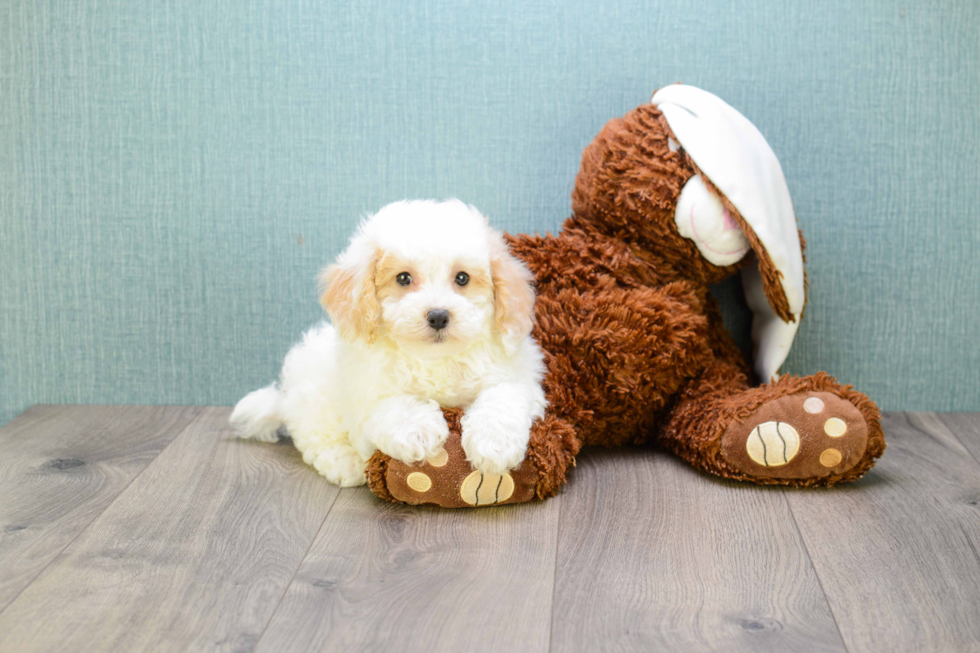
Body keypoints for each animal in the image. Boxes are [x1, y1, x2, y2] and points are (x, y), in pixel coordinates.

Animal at [233, 199, 548, 484]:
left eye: (462, 278)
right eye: (403, 278)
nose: (438, 316)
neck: (434, 358)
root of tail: (284, 400)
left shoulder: (517, 375)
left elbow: (502, 397)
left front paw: (494, 444)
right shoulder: (366, 392)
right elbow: (391, 405)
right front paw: (418, 431)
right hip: (315, 402)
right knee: (317, 439)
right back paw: (345, 462)